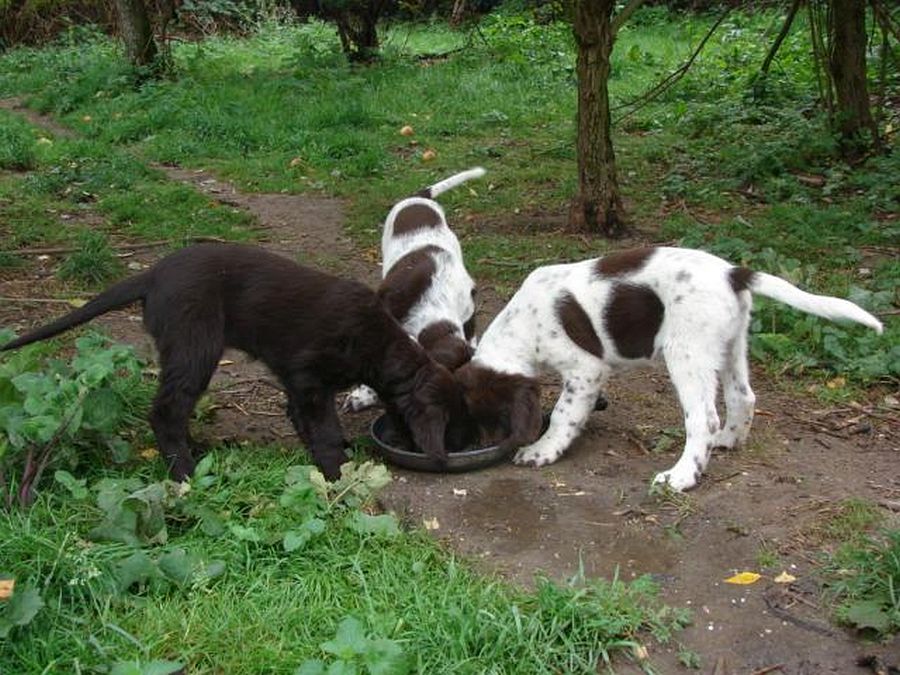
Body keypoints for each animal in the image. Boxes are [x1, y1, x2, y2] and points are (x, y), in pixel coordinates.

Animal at [1, 243, 473, 481]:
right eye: (452, 429)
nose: (453, 453)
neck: (377, 343)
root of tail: (151, 275)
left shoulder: (296, 383)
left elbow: (303, 422)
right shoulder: (309, 379)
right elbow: (323, 431)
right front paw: (336, 471)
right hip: (196, 347)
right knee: (166, 411)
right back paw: (185, 471)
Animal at [455, 246, 883, 491]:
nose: (478, 447)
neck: (522, 323)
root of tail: (734, 273)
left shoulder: (585, 369)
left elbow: (563, 415)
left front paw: (542, 450)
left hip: (687, 351)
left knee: (703, 418)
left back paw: (682, 477)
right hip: (730, 344)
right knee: (742, 396)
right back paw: (727, 440)